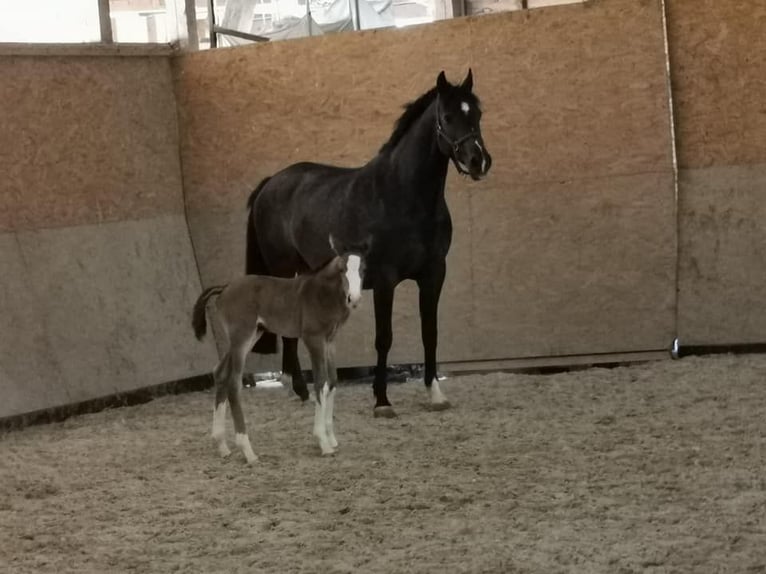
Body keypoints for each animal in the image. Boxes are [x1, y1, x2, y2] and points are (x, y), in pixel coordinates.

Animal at [195, 241, 368, 466]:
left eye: (363, 269)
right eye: (342, 269)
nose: (353, 298)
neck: (321, 293)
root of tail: (225, 287)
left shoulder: (330, 342)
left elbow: (332, 381)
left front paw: (331, 438)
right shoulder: (313, 339)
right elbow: (321, 382)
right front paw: (323, 442)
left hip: (250, 337)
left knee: (220, 373)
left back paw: (222, 446)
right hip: (242, 338)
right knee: (233, 384)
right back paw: (248, 452)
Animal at [249, 70, 496, 418]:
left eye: (476, 114)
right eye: (447, 117)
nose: (478, 161)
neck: (405, 195)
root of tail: (270, 183)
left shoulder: (434, 274)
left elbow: (430, 333)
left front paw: (435, 394)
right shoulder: (385, 279)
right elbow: (384, 338)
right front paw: (382, 401)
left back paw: (303, 391)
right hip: (282, 268)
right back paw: (298, 388)